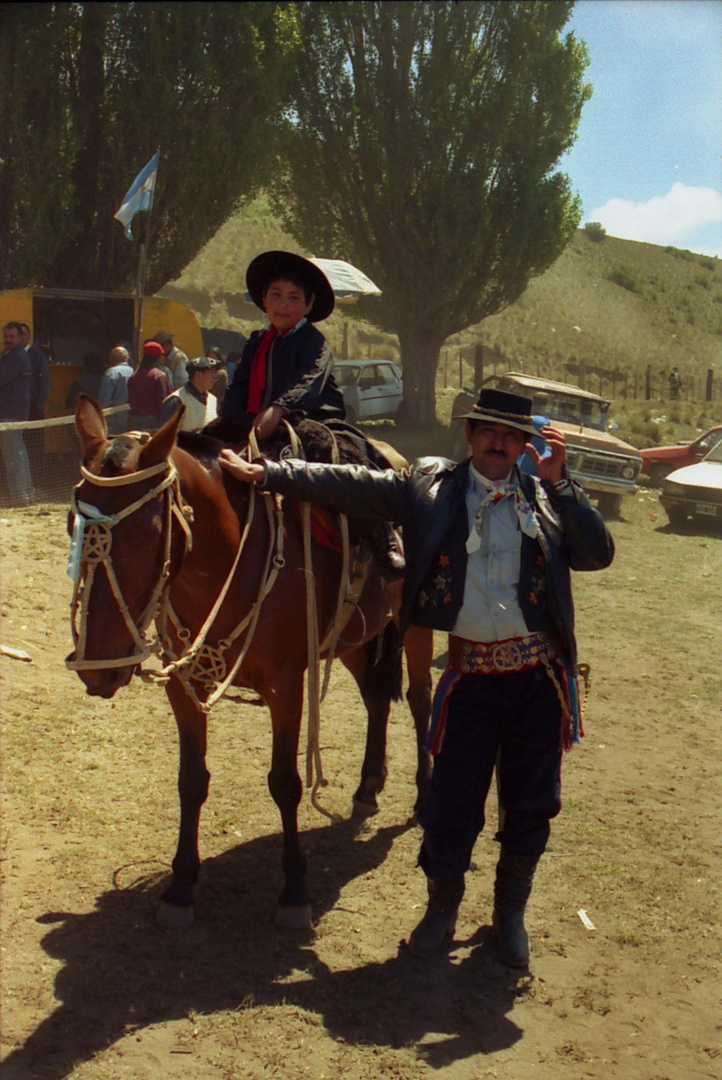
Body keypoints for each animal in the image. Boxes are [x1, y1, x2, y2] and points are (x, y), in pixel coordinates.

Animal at [66, 397, 427, 928]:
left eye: (149, 532)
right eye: (74, 525)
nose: (98, 668)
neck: (232, 556)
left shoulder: (287, 686)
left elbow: (286, 783)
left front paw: (294, 890)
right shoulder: (183, 684)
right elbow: (191, 781)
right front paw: (180, 886)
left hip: (415, 626)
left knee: (422, 702)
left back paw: (425, 795)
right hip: (356, 638)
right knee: (376, 699)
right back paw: (367, 787)